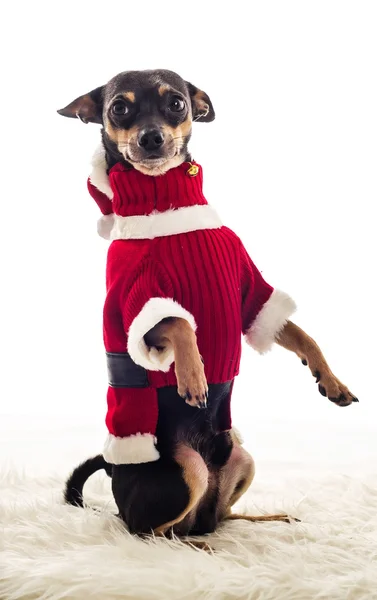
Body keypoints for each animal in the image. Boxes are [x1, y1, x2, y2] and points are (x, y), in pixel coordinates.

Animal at [57, 69, 356, 540]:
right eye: (118, 108)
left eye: (177, 104)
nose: (151, 138)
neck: (166, 204)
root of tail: (118, 508)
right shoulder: (136, 308)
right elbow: (180, 323)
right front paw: (194, 373)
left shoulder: (250, 296)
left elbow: (301, 335)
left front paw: (331, 380)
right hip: (186, 472)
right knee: (153, 533)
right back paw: (196, 546)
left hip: (242, 459)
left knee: (219, 517)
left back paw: (264, 519)